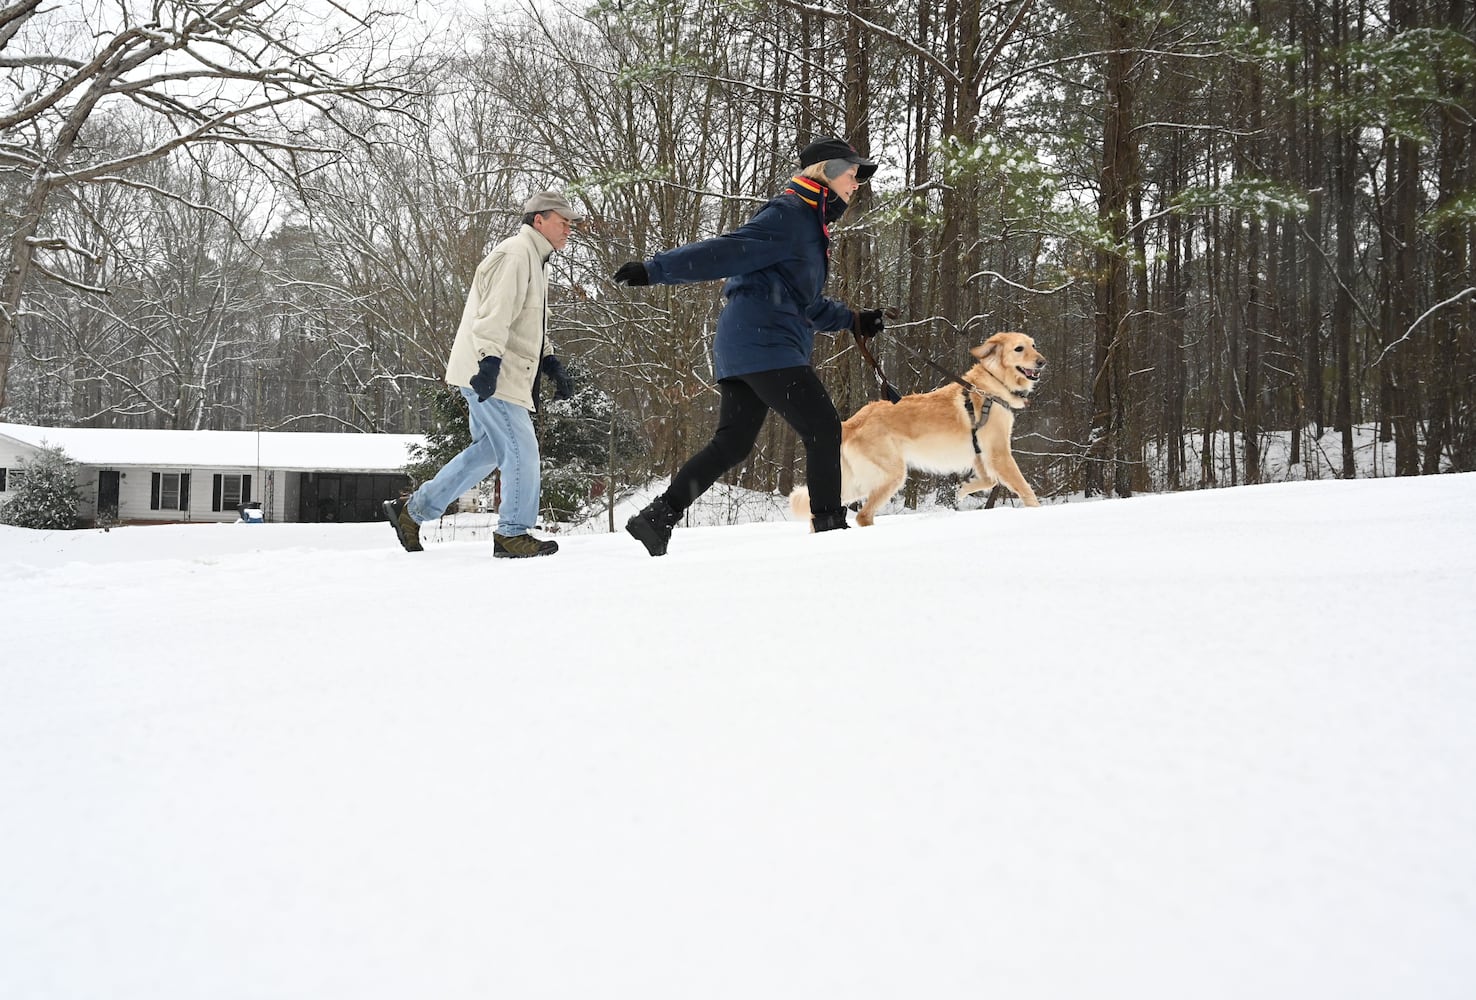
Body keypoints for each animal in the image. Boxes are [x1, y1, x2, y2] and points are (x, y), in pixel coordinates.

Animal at [791, 333, 1045, 528]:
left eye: (1034, 345)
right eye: (1019, 348)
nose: (1042, 362)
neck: (992, 386)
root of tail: (851, 422)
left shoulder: (980, 454)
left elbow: (989, 480)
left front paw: (963, 490)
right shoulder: (999, 453)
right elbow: (1024, 488)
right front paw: (1037, 511)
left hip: (857, 481)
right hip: (891, 475)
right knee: (863, 515)